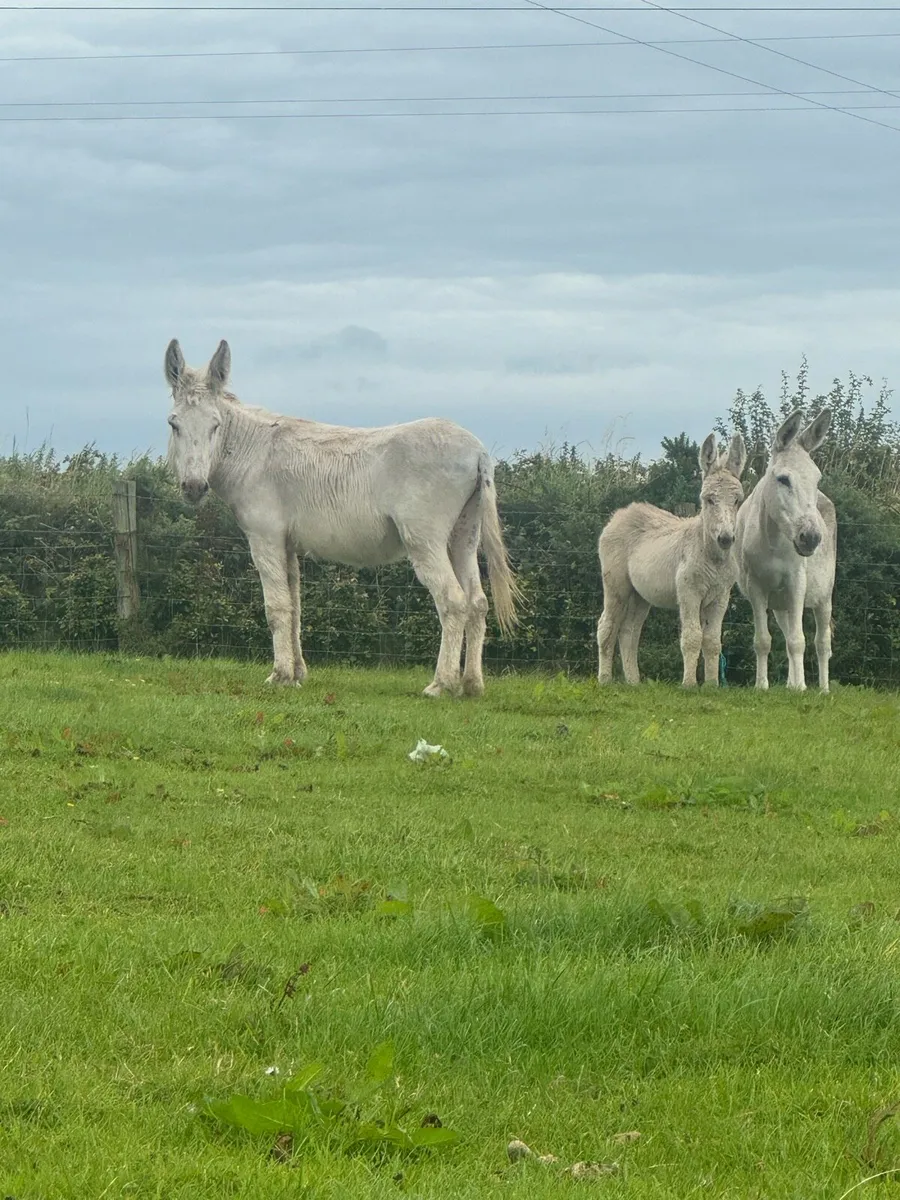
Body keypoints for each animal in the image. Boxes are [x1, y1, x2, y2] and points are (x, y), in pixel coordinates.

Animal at [163, 339, 521, 697]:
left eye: (215, 426)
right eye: (174, 424)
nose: (194, 488)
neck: (253, 453)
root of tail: (478, 451)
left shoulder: (265, 538)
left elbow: (276, 607)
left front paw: (279, 676)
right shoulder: (287, 543)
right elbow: (294, 606)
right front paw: (297, 674)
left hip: (425, 540)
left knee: (453, 600)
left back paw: (441, 684)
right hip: (464, 536)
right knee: (477, 602)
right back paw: (471, 685)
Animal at [596, 432, 747, 687]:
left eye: (737, 500)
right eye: (708, 500)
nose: (726, 539)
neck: (712, 557)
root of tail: (621, 514)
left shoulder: (720, 598)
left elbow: (713, 642)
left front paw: (712, 685)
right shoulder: (689, 592)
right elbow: (692, 637)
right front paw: (689, 684)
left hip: (640, 595)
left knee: (629, 632)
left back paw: (633, 681)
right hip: (616, 585)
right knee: (606, 626)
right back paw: (605, 679)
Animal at [734, 408, 836, 692]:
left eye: (817, 479)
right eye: (783, 479)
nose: (811, 538)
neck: (773, 541)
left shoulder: (796, 582)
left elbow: (798, 641)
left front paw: (801, 689)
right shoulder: (756, 587)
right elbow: (764, 641)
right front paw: (762, 686)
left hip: (823, 597)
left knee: (822, 643)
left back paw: (822, 689)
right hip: (781, 606)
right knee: (789, 632)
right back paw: (791, 684)